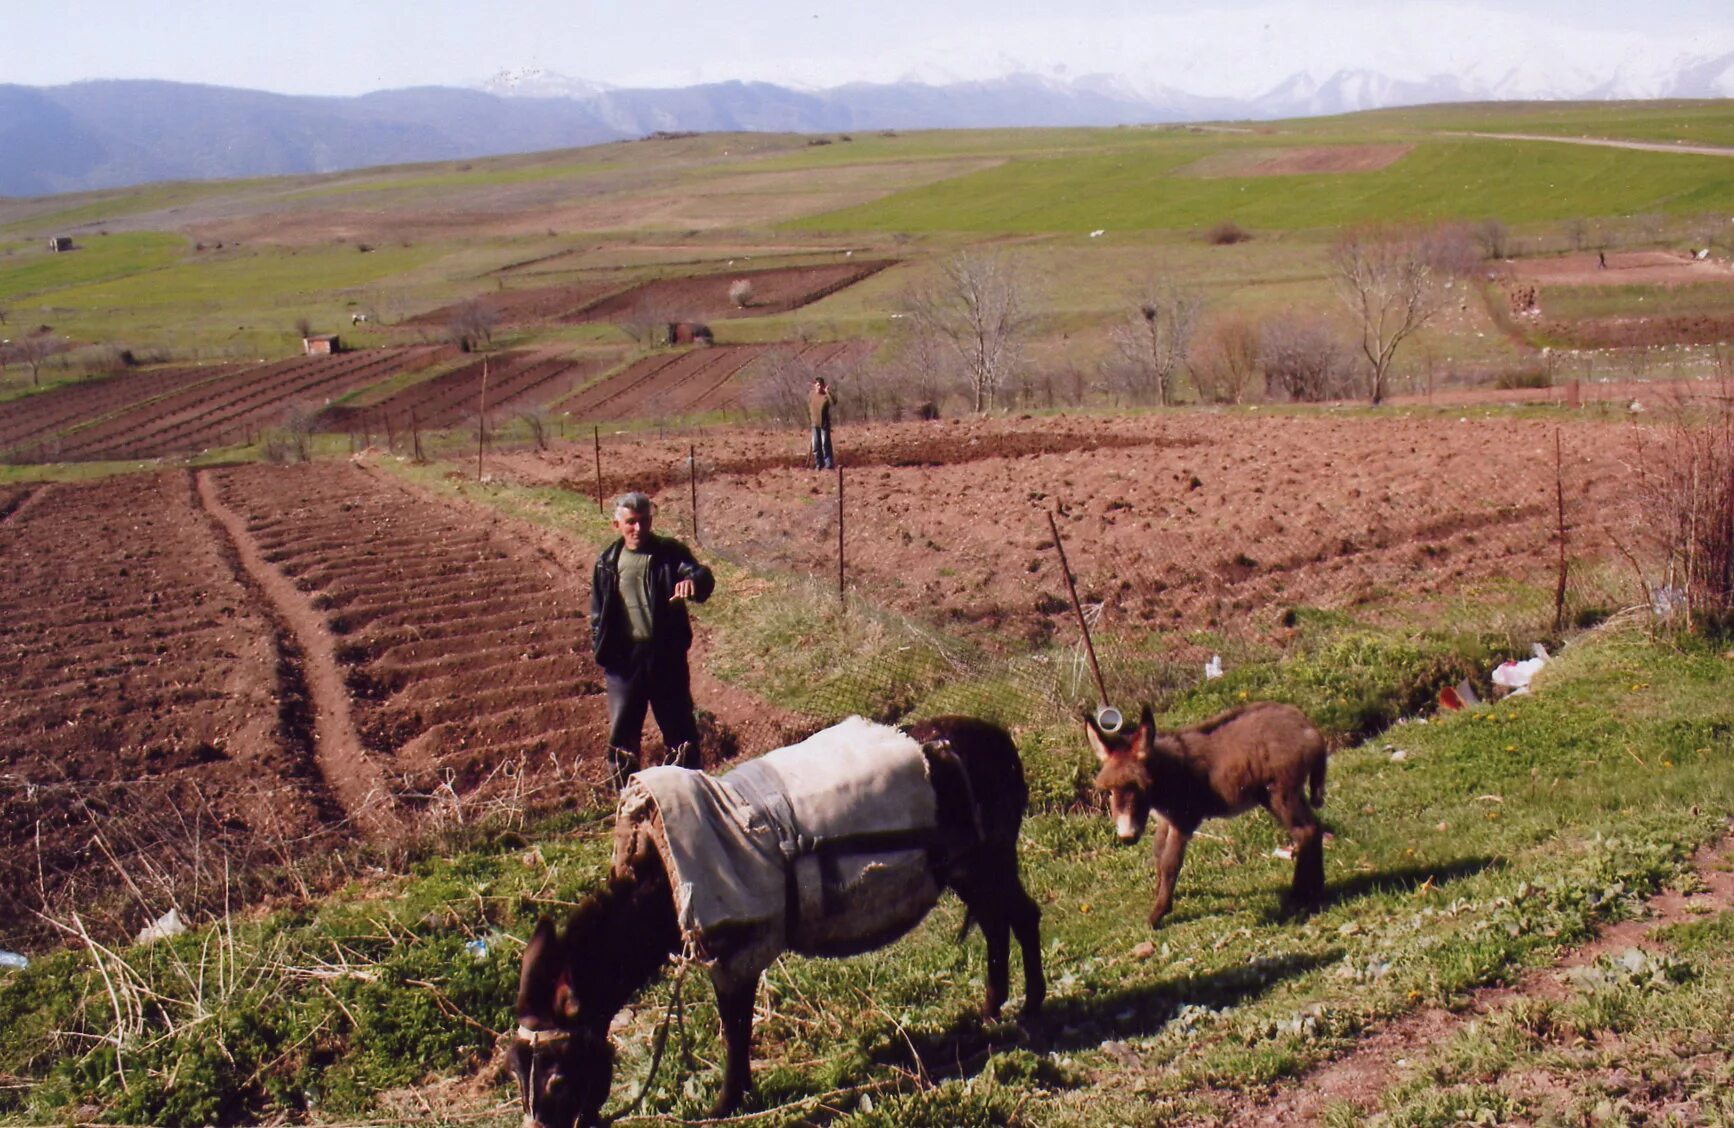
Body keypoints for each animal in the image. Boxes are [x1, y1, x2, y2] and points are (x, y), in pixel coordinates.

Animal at [1082, 700, 1324, 928]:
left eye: (1141, 788)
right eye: (1109, 791)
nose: (1127, 837)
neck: (1167, 774)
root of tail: (1309, 728)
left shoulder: (1182, 821)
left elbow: (1170, 863)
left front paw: (1158, 914)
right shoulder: (1165, 820)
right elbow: (1158, 855)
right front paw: (1159, 894)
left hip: (1281, 795)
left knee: (1306, 831)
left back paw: (1299, 896)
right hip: (1281, 796)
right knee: (1315, 828)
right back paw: (1316, 890)